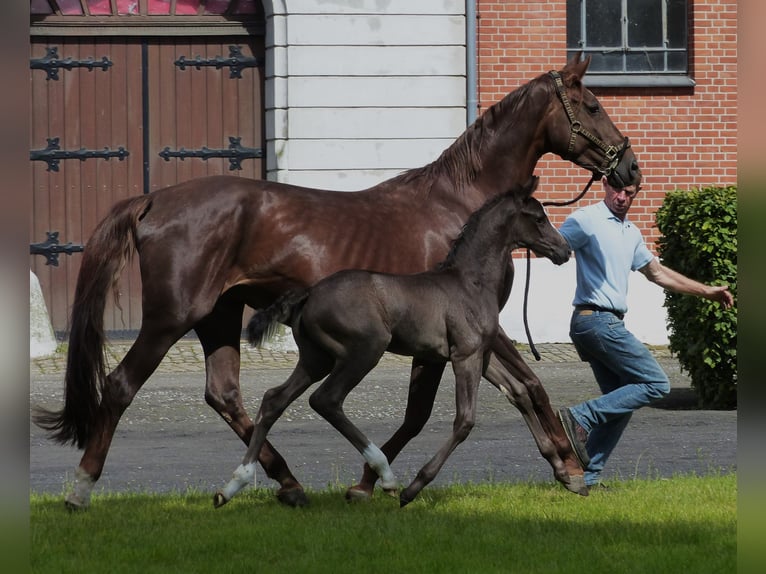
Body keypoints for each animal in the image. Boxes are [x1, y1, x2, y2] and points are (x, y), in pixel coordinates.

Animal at [216, 177, 568, 508]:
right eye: (539, 218)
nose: (564, 250)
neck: (470, 282)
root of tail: (308, 293)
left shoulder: (483, 355)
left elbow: (518, 392)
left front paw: (564, 472)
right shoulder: (464, 355)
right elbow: (465, 420)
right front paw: (414, 488)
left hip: (316, 358)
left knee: (274, 400)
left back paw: (233, 485)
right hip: (365, 349)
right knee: (326, 399)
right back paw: (385, 475)